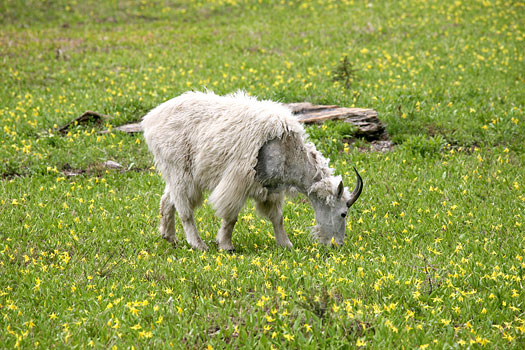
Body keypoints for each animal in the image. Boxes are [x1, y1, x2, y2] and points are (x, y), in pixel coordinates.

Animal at [140, 91, 360, 250]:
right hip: (179, 168)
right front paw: (226, 246)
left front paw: (286, 244)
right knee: (185, 209)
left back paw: (169, 237)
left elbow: (277, 218)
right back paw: (198, 244)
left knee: (168, 199)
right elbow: (231, 216)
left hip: (183, 174)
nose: (338, 245)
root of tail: (150, 120)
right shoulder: (238, 181)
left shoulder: (270, 188)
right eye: (343, 213)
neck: (287, 150)